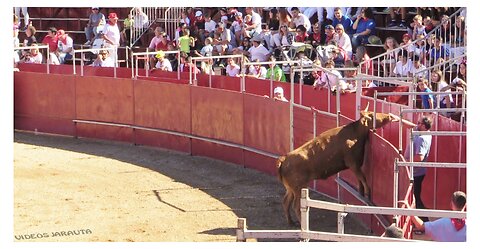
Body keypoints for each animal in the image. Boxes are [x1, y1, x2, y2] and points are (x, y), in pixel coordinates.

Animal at [276, 105, 404, 226]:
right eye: (372, 115)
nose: (390, 116)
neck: (355, 133)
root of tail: (284, 159)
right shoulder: (353, 163)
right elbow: (363, 178)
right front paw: (367, 194)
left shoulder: (356, 165)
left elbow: (360, 179)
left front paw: (361, 192)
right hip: (299, 188)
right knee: (296, 206)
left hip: (291, 189)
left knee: (285, 202)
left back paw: (291, 222)